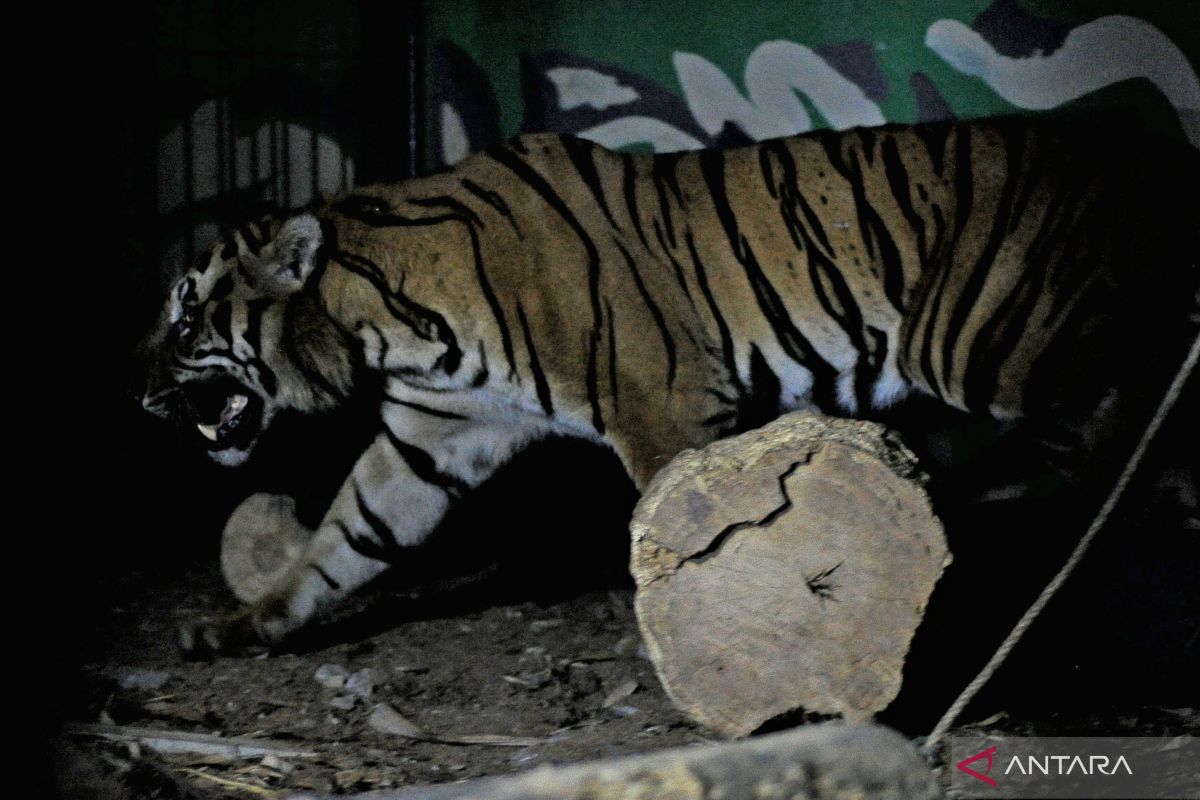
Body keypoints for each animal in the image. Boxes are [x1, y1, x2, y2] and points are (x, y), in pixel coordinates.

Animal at [136, 118, 1195, 657]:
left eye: (184, 321)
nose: (139, 393)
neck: (384, 324)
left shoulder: (664, 402)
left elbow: (689, 529)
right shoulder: (430, 437)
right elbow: (342, 539)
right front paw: (245, 626)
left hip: (985, 334)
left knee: (1133, 404)